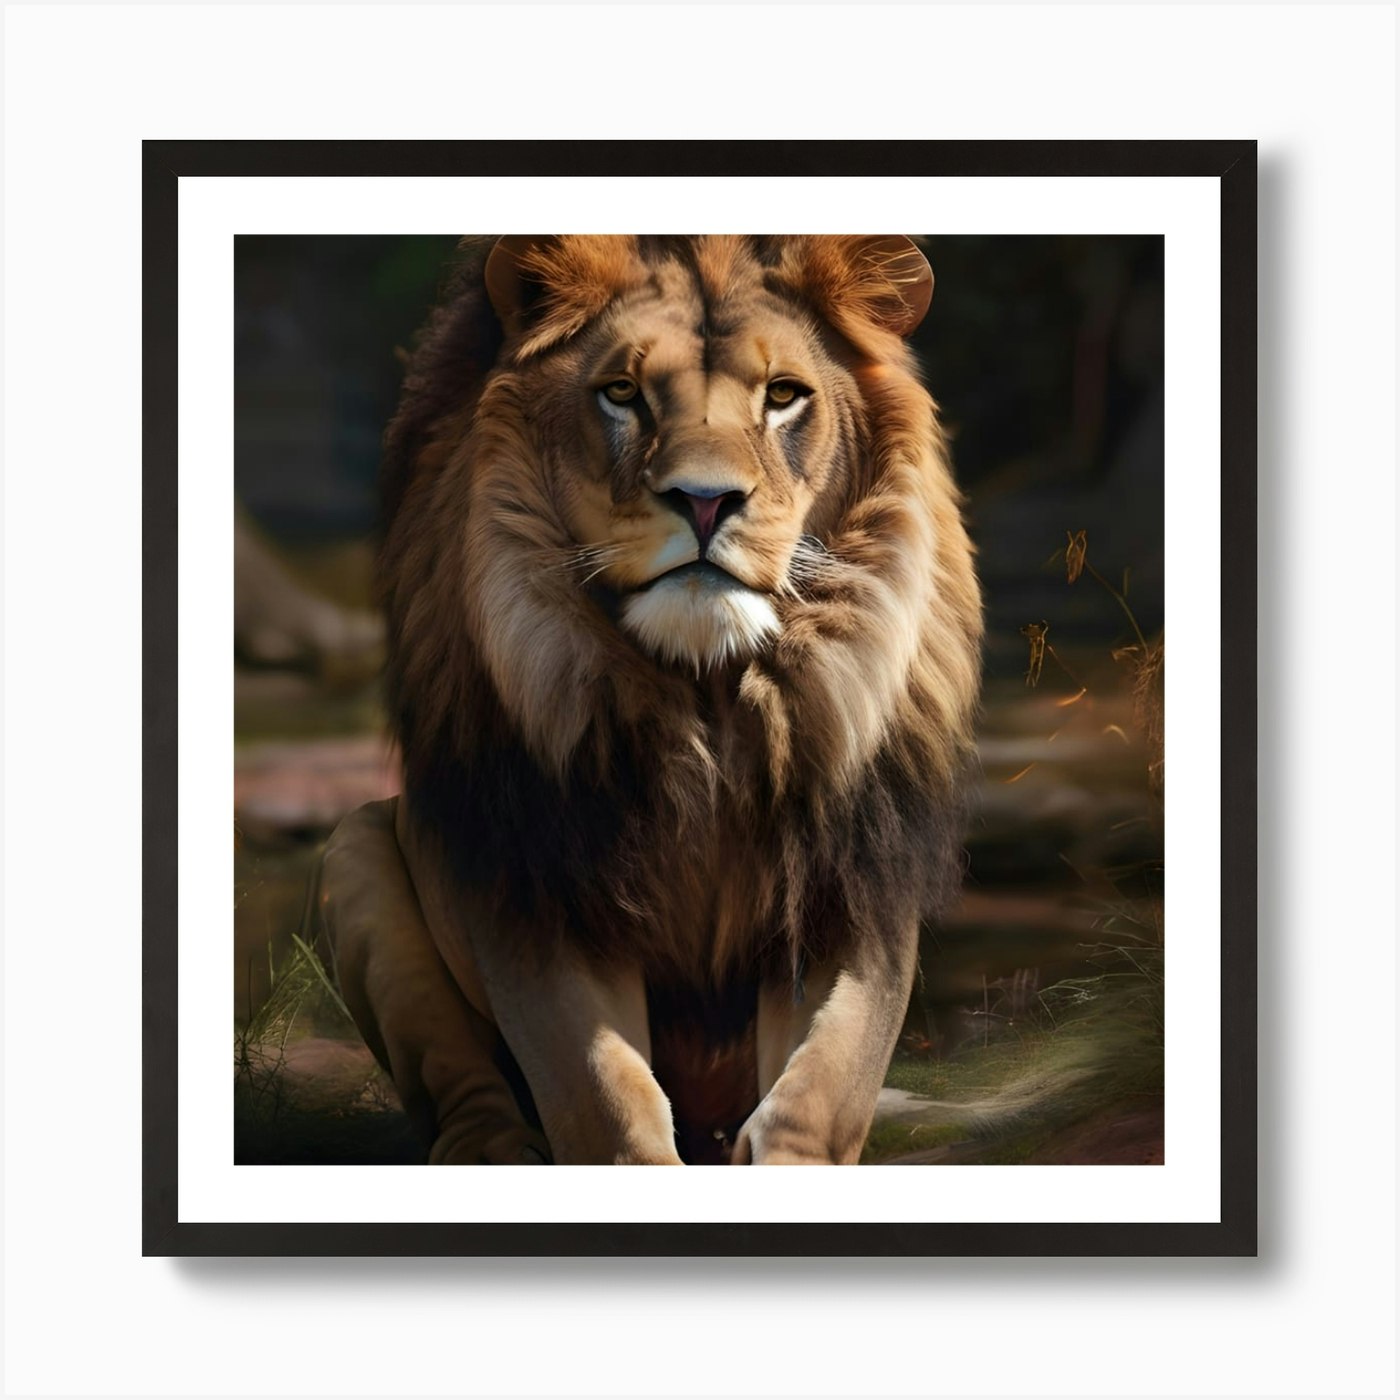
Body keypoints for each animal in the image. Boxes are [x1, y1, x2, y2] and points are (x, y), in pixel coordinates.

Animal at [311, 235, 983, 1165]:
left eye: (783, 396)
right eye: (622, 394)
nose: (705, 501)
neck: (708, 698)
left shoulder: (855, 879)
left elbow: (819, 1091)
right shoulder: (541, 891)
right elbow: (605, 1098)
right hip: (358, 844)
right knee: (465, 1097)